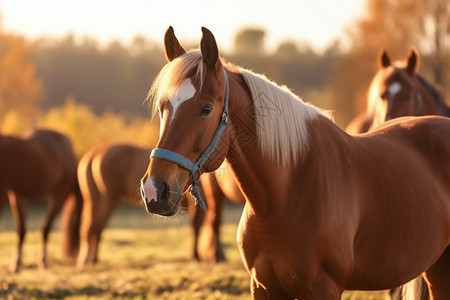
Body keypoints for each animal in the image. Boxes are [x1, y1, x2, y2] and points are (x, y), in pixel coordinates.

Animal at [0, 127, 81, 274]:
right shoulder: (17, 195)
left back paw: (43, 261)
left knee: (45, 229)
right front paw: (16, 264)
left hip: (58, 195)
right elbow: (20, 230)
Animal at [78, 142, 246, 268]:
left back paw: (91, 259)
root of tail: (95, 153)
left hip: (96, 199)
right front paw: (199, 256)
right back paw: (89, 259)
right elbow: (200, 225)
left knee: (92, 227)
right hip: (108, 199)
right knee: (95, 227)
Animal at [140, 27, 450, 298]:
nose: (155, 189)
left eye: (205, 109)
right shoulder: (263, 288)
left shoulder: (325, 289)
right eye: (163, 107)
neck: (287, 192)